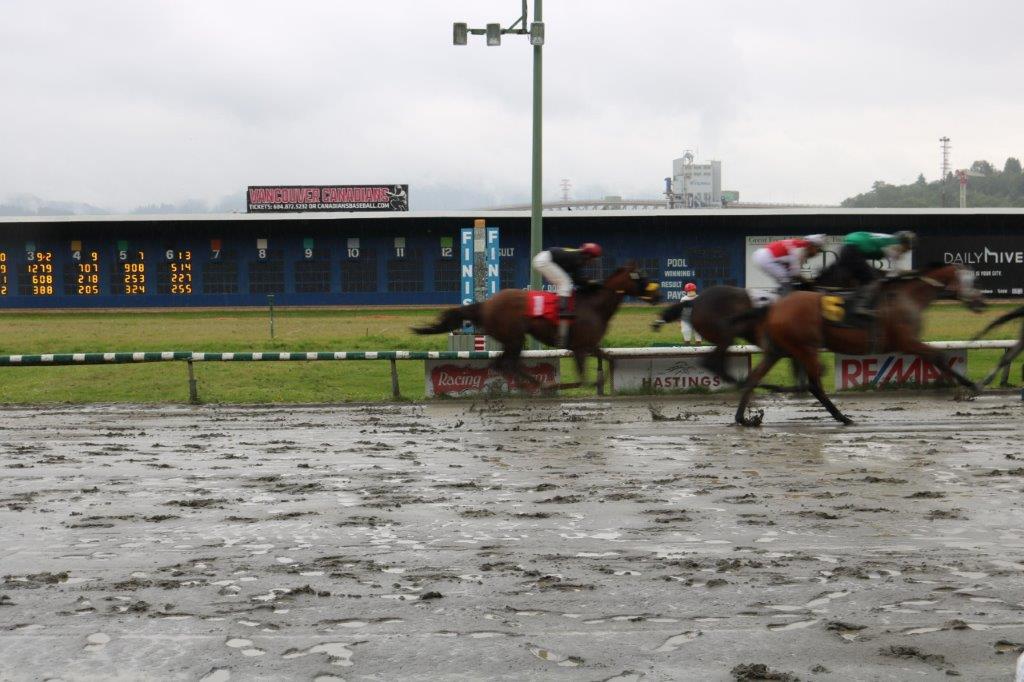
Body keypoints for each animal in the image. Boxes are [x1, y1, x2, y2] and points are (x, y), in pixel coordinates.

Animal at [413, 262, 663, 385]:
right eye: (640, 276)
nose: (658, 295)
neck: (594, 306)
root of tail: (485, 305)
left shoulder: (591, 346)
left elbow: (609, 358)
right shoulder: (580, 348)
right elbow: (582, 379)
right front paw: (567, 385)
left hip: (511, 340)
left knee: (501, 364)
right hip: (515, 338)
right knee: (507, 364)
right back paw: (537, 384)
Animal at [733, 261, 987, 425]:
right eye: (968, 280)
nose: (981, 302)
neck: (907, 297)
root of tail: (774, 307)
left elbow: (938, 359)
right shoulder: (907, 341)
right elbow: (938, 357)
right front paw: (972, 385)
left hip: (779, 350)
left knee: (754, 377)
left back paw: (743, 418)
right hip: (805, 348)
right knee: (814, 384)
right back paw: (843, 417)